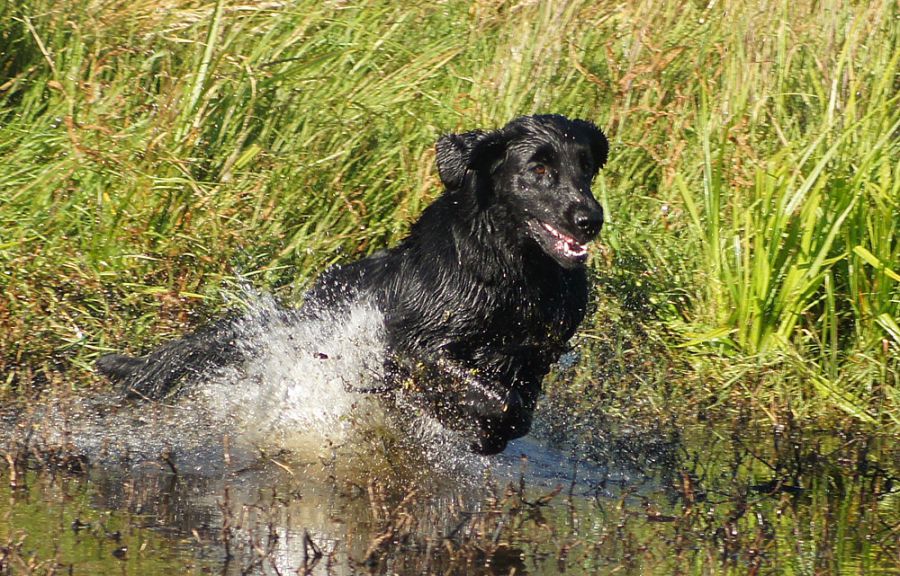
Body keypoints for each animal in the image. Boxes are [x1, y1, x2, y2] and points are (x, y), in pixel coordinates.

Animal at [98, 113, 608, 454]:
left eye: (586, 169)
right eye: (539, 170)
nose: (590, 219)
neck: (515, 272)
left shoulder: (537, 355)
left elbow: (517, 409)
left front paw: (483, 433)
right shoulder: (411, 344)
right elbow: (497, 399)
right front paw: (471, 421)